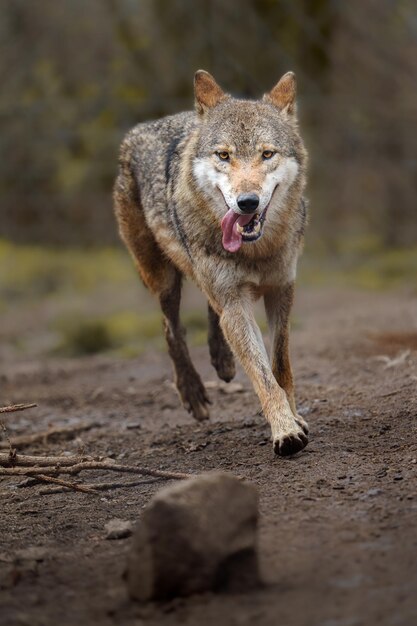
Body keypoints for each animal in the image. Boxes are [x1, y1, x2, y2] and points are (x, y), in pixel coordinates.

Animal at [114, 70, 308, 456]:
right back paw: (193, 392)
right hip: (164, 280)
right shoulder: (234, 302)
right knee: (171, 329)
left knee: (208, 312)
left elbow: (280, 366)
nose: (247, 202)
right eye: (224, 155)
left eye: (267, 154)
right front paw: (285, 431)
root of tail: (138, 130)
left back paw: (222, 359)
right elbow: (264, 377)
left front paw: (294, 418)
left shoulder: (282, 290)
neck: (255, 251)